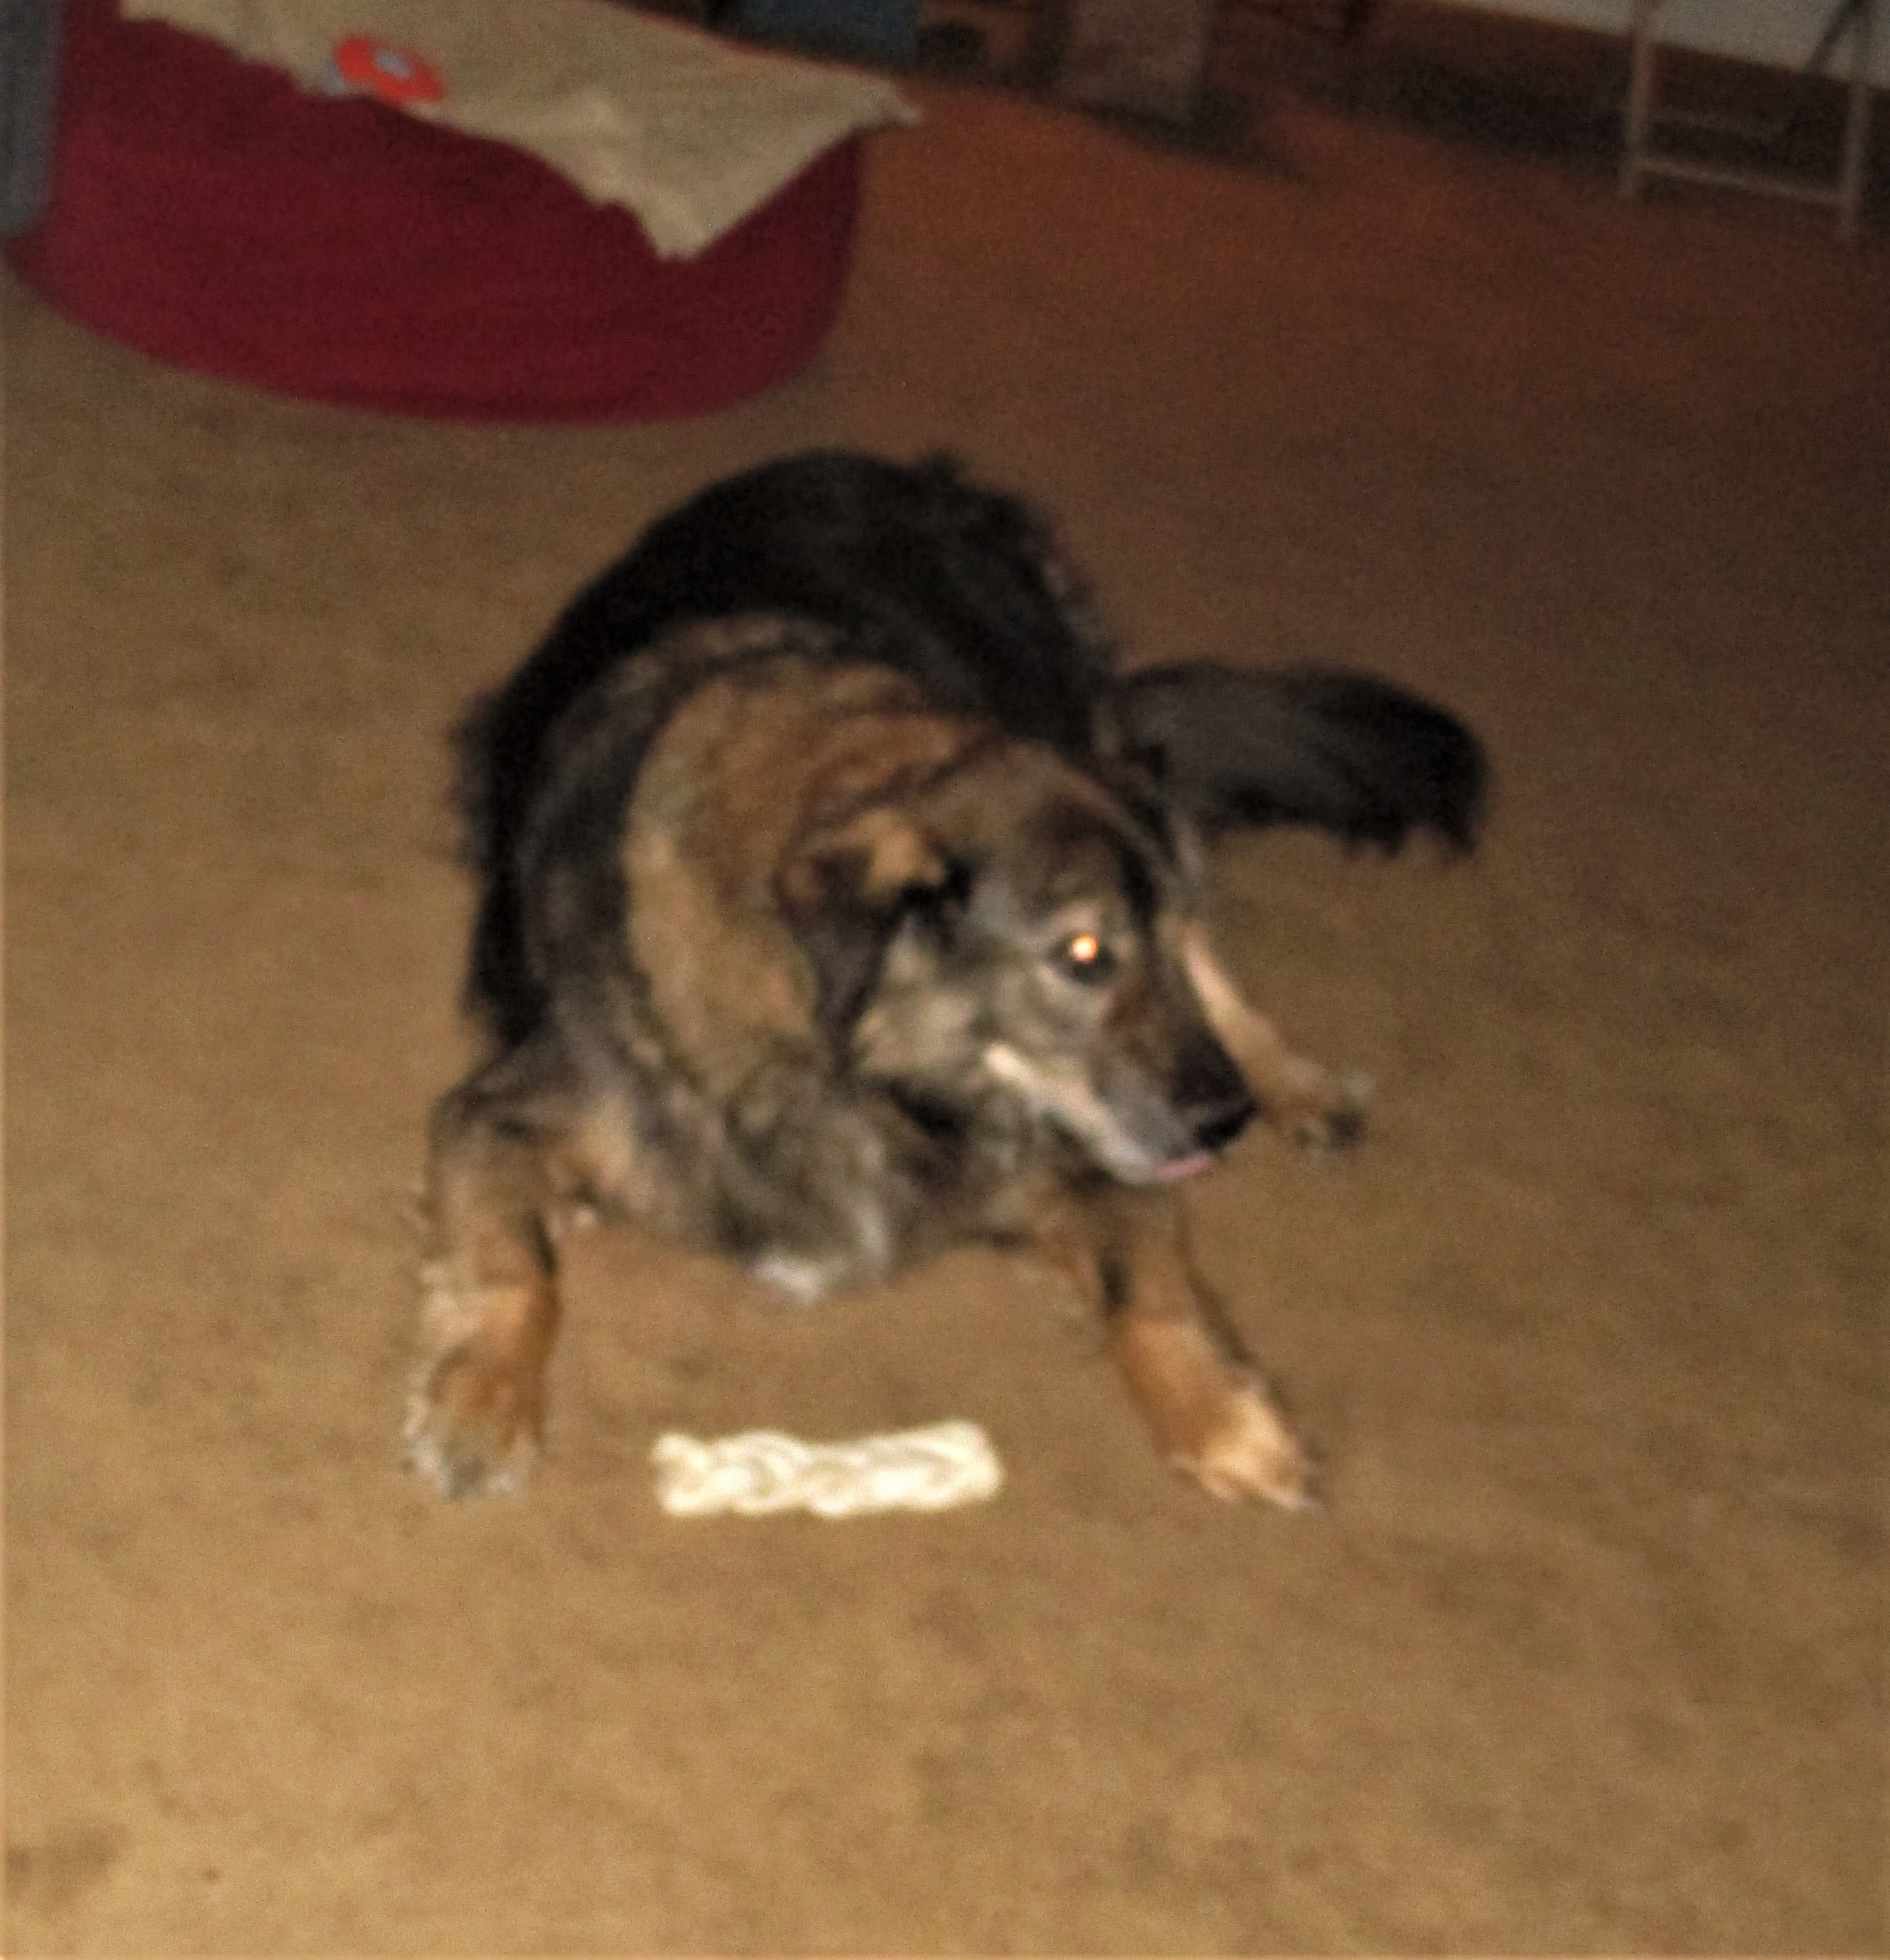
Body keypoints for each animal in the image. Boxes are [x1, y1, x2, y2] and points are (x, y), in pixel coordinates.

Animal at [405, 451, 1486, 1507]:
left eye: (1148, 942)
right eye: (1082, 955)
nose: (1227, 1122)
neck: (859, 1068)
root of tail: (900, 470)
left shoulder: (1092, 1151)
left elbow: (1149, 1293)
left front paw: (1231, 1425)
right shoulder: (497, 1114)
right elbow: (519, 1270)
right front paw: (480, 1403)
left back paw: (1296, 1083)